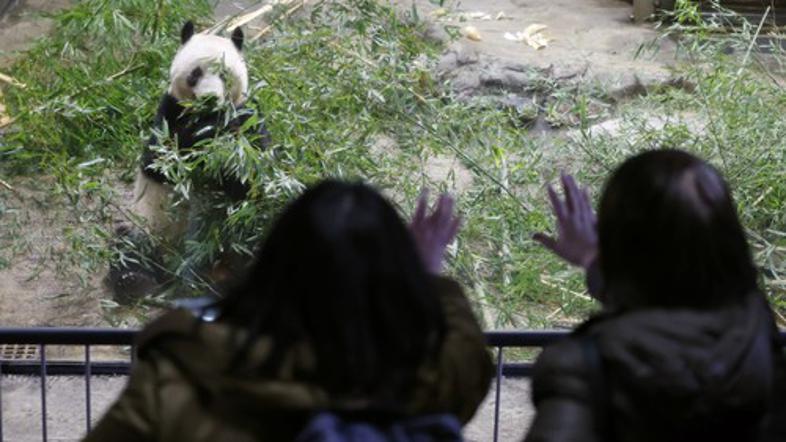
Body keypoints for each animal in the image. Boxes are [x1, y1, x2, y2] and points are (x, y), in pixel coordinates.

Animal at [108, 21, 270, 302]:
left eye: (224, 75)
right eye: (195, 73)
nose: (210, 99)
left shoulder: (249, 117)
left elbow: (251, 176)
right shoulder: (168, 114)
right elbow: (160, 161)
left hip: (241, 232)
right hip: (148, 226)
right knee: (129, 247)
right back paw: (135, 281)